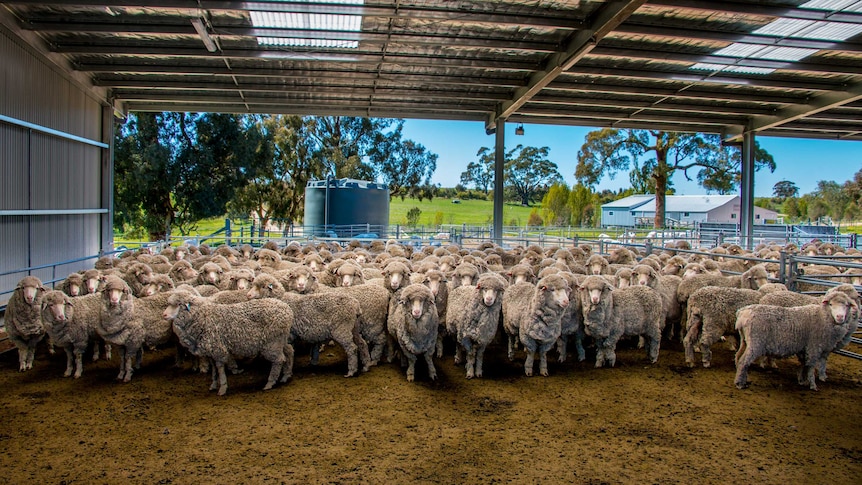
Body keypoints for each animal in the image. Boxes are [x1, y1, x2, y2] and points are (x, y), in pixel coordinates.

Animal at [163, 290, 296, 396]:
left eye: (178, 304)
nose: (164, 315)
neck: (202, 316)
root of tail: (287, 309)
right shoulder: (211, 351)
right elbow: (214, 370)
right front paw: (213, 384)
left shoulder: (218, 349)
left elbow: (220, 368)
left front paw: (222, 388)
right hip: (280, 340)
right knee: (289, 351)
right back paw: (286, 375)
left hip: (272, 343)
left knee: (279, 360)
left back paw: (270, 382)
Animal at [732, 292, 860, 390]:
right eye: (831, 304)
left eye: (847, 305)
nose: (840, 317)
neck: (823, 316)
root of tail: (742, 312)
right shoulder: (814, 347)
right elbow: (811, 366)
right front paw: (812, 385)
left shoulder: (805, 348)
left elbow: (804, 364)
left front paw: (801, 380)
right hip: (756, 343)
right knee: (744, 361)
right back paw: (740, 383)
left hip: (745, 340)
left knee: (738, 357)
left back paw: (741, 378)